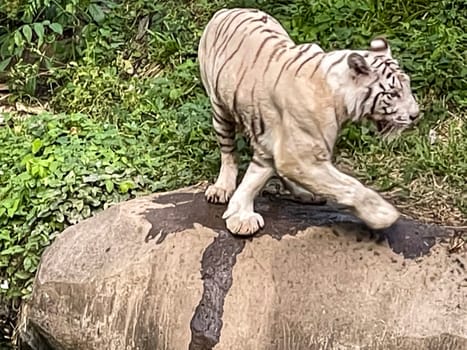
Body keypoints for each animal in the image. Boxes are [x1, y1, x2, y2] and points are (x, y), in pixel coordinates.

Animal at [197, 8, 420, 237]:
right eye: (393, 94)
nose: (416, 115)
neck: (339, 97)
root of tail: (228, 9)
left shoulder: (277, 146)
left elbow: (254, 178)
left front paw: (239, 214)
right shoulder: (302, 157)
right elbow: (349, 187)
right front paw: (383, 215)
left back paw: (304, 193)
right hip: (219, 109)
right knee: (228, 151)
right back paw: (222, 187)